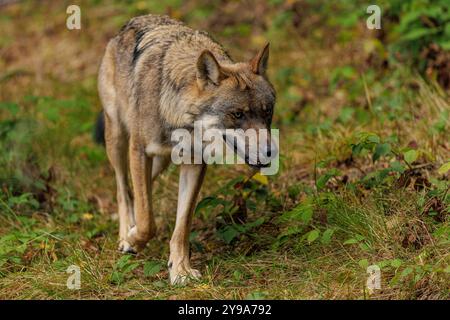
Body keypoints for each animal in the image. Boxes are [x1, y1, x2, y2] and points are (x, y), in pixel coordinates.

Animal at [96, 14, 276, 284]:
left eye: (267, 112)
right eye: (237, 114)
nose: (270, 152)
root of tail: (134, 21)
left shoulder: (194, 164)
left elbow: (181, 226)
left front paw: (180, 270)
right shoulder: (139, 151)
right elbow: (148, 220)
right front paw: (133, 240)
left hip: (161, 160)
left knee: (137, 189)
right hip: (117, 138)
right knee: (122, 188)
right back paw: (126, 232)